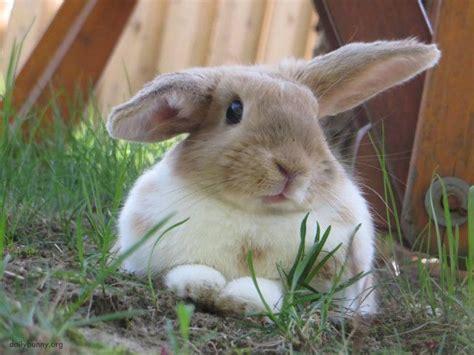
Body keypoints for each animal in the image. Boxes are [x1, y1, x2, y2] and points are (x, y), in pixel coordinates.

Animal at [107, 40, 440, 318]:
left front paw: (242, 299)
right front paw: (199, 287)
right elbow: (189, 269)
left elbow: (272, 289)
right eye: (234, 110)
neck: (254, 214)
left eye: (314, 117)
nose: (292, 168)